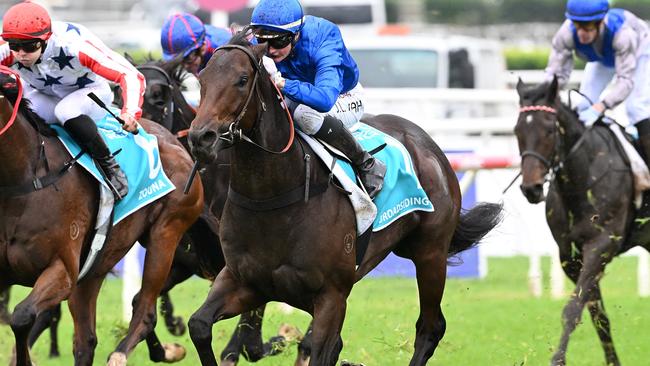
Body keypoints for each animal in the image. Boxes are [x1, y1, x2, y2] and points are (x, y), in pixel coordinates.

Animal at [0, 69, 204, 366]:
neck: (27, 180)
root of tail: (175, 142)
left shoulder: (63, 271)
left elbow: (21, 316)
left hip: (166, 233)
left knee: (145, 311)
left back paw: (126, 353)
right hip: (97, 264)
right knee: (86, 341)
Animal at [186, 33, 502, 364]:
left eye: (242, 79)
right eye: (202, 79)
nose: (200, 138)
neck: (272, 197)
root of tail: (427, 144)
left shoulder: (331, 296)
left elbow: (321, 349)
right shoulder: (244, 281)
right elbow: (199, 325)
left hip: (431, 252)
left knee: (430, 327)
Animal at [516, 78, 648, 364]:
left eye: (549, 130)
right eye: (517, 130)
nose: (531, 188)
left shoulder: (602, 245)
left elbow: (573, 309)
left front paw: (557, 359)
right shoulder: (570, 255)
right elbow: (597, 314)